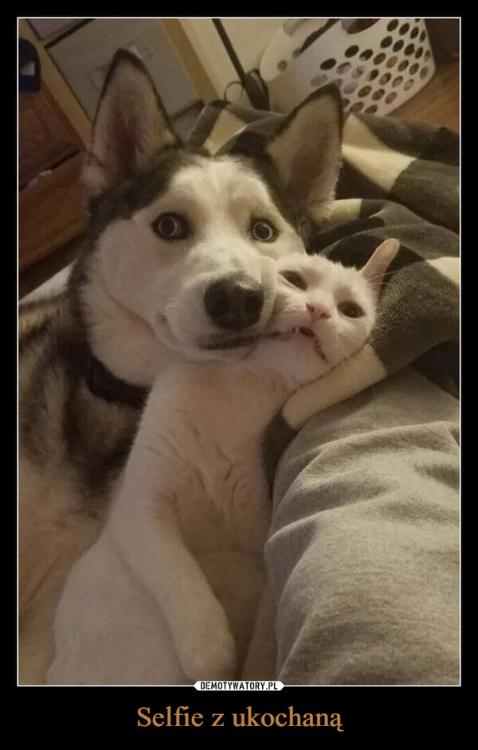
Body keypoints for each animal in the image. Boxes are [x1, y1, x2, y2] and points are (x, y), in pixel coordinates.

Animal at [47, 239, 398, 685]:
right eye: (294, 279)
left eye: (350, 310)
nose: (318, 310)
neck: (245, 394)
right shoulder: (141, 506)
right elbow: (177, 574)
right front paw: (209, 649)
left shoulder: (263, 560)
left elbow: (266, 628)